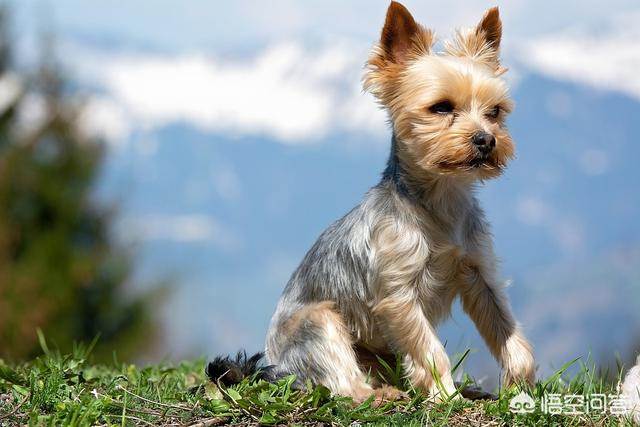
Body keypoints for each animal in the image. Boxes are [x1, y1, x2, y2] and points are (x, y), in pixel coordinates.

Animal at [209, 1, 536, 406]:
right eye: (441, 107)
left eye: (495, 112)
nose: (486, 139)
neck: (441, 200)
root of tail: (273, 365)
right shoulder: (399, 294)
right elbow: (430, 350)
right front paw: (446, 397)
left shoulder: (479, 272)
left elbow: (509, 331)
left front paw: (518, 386)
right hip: (319, 323)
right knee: (342, 384)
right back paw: (381, 395)